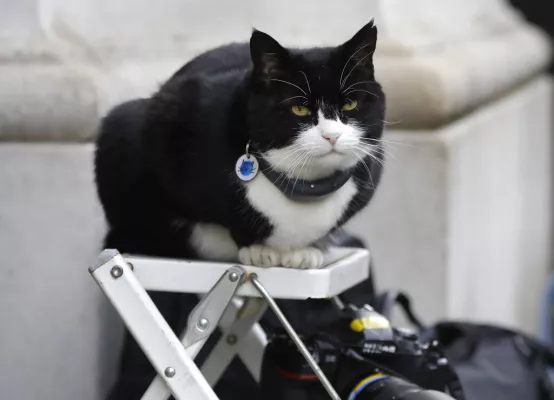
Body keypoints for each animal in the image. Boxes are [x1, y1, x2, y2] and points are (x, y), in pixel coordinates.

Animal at [94, 19, 384, 268]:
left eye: (350, 104)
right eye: (299, 109)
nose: (332, 136)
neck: (304, 184)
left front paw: (307, 250)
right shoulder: (170, 117)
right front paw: (258, 249)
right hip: (120, 124)